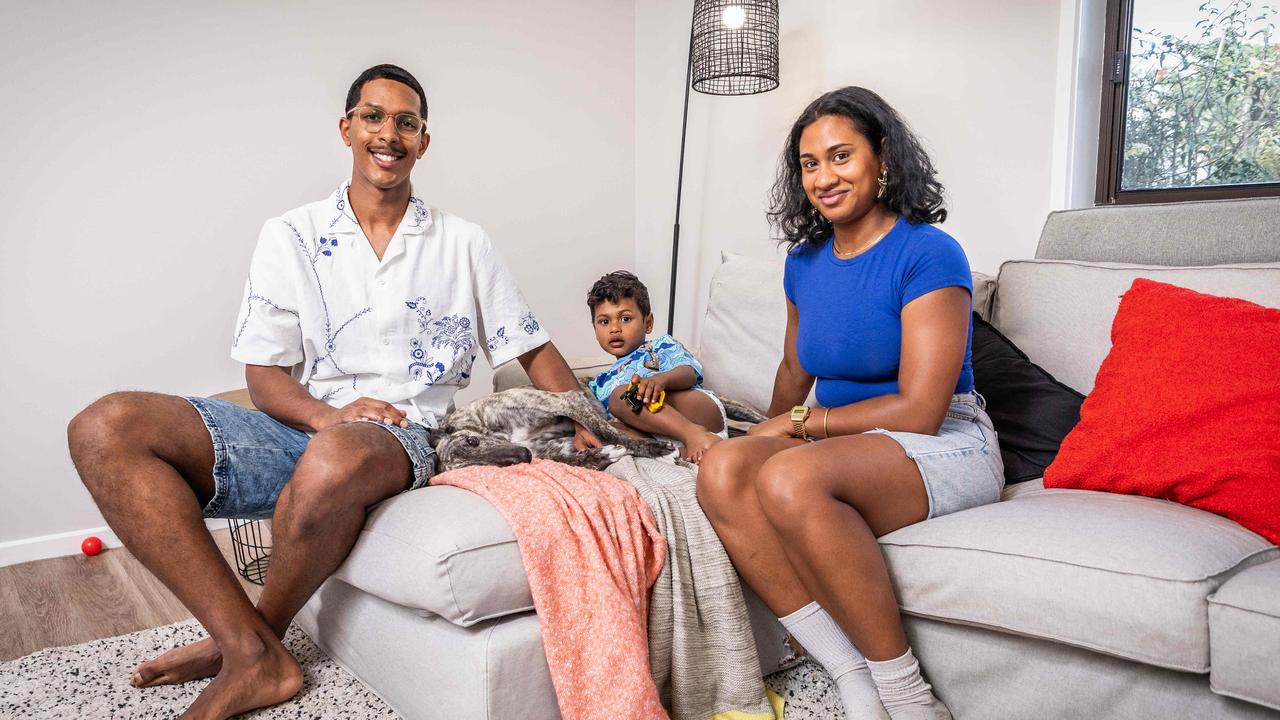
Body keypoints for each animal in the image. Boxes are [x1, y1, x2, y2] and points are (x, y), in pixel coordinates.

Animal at [430, 386, 680, 471]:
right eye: (478, 468)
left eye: (472, 441)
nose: (524, 455)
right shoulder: (554, 449)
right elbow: (571, 460)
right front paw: (600, 456)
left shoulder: (567, 401)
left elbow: (603, 432)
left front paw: (658, 450)